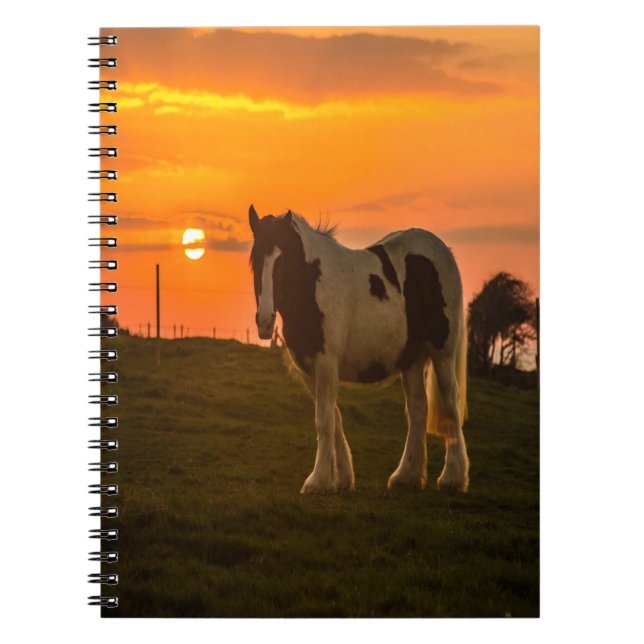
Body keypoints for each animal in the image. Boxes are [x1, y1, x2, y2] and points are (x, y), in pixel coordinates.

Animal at [248, 204, 470, 495]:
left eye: (281, 260)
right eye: (254, 259)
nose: (264, 322)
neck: (312, 285)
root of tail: (443, 251)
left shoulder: (326, 363)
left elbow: (324, 419)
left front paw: (317, 481)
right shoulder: (309, 368)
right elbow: (334, 417)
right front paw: (340, 478)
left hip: (442, 354)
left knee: (450, 403)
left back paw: (452, 478)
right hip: (410, 360)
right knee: (418, 408)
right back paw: (406, 476)